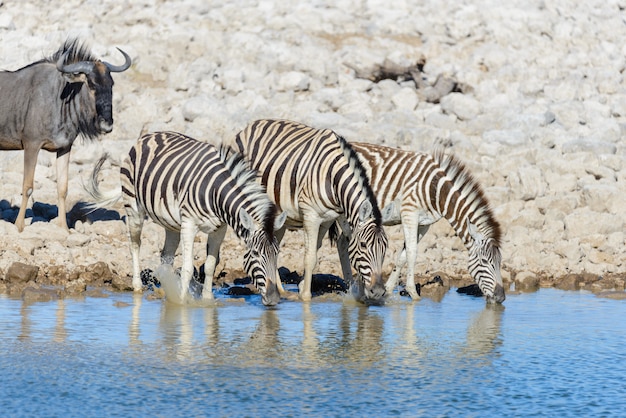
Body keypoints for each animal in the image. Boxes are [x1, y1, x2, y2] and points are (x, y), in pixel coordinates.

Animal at [84, 132, 284, 306]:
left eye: (277, 254)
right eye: (256, 254)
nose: (274, 299)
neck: (216, 193)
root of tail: (150, 135)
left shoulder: (220, 229)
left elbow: (210, 265)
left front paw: (206, 300)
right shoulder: (189, 223)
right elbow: (187, 268)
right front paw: (181, 303)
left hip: (171, 223)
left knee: (166, 256)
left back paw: (166, 287)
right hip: (133, 207)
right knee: (135, 244)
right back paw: (138, 286)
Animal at [227, 119, 388, 302]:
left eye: (385, 248)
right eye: (363, 245)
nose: (378, 291)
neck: (333, 178)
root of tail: (250, 125)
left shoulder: (329, 219)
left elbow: (319, 250)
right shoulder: (311, 215)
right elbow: (310, 257)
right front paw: (305, 296)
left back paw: (281, 291)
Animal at [330, 143, 504, 304]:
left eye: (500, 262)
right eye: (484, 262)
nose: (501, 297)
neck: (436, 190)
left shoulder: (424, 223)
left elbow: (403, 255)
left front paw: (388, 290)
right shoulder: (409, 213)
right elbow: (412, 253)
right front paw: (413, 294)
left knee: (342, 242)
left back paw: (350, 287)